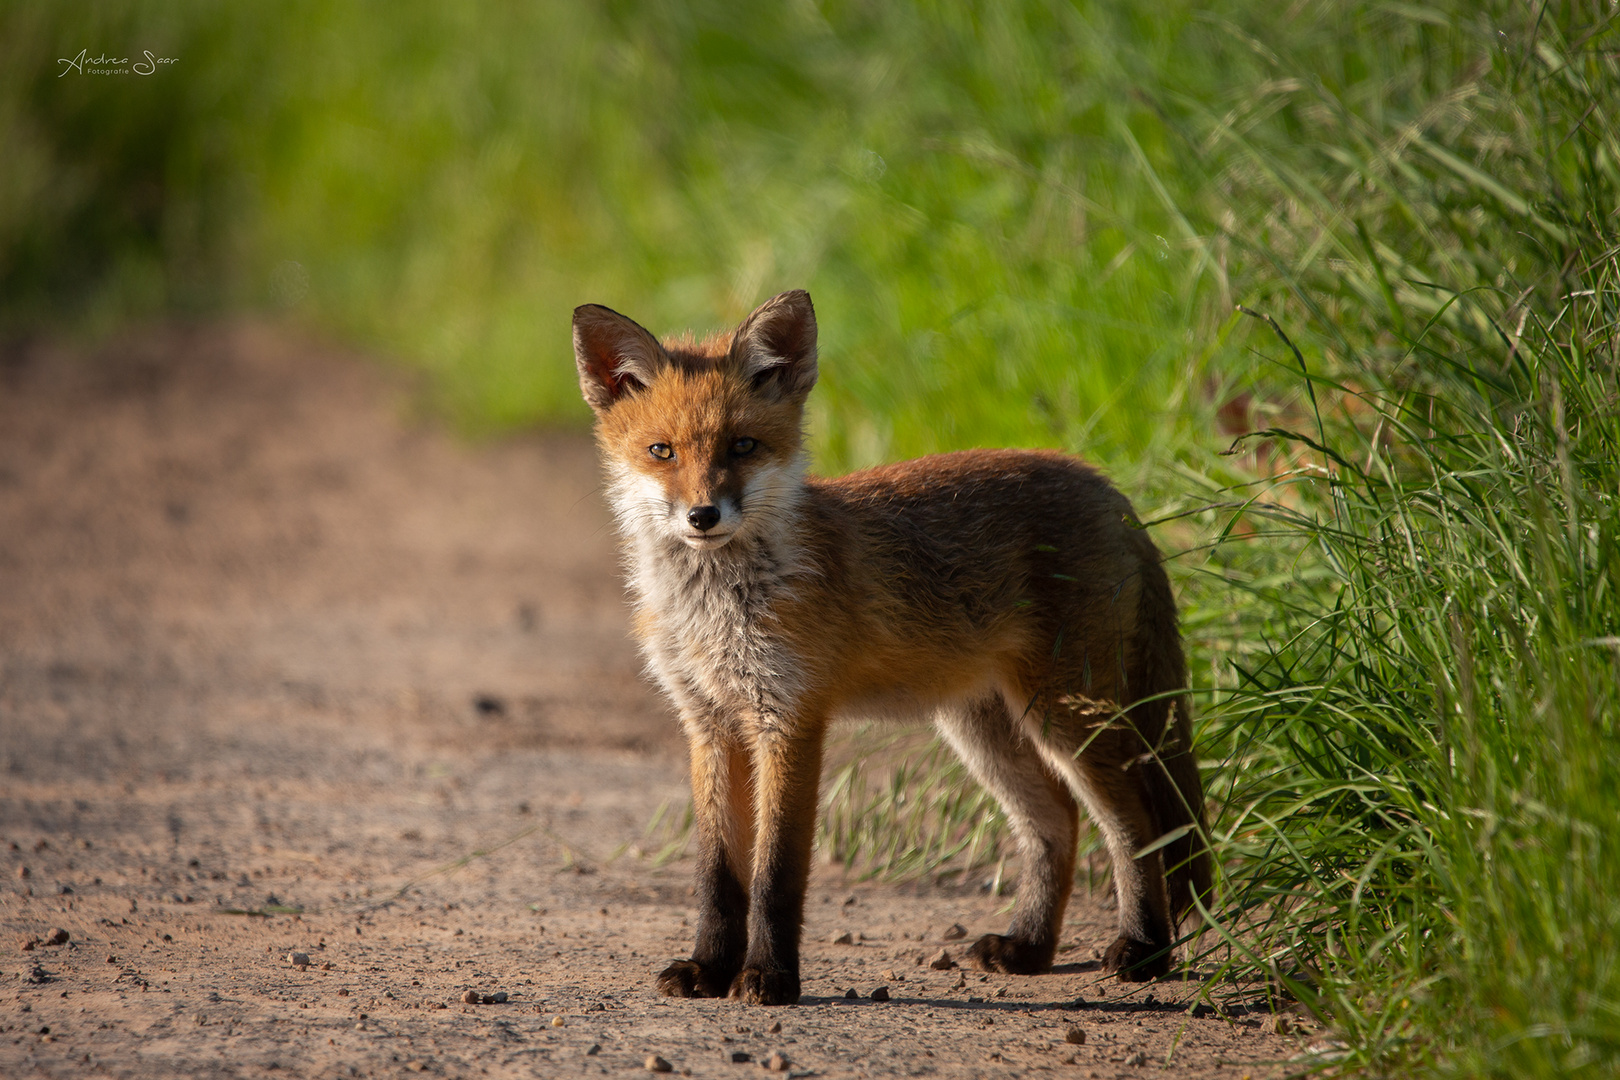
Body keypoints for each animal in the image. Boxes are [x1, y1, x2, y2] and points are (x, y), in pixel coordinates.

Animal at [576, 286, 1211, 1003]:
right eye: (662, 451)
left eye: (742, 446)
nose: (703, 516)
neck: (715, 609)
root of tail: (1102, 482)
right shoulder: (708, 723)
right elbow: (717, 875)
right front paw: (708, 968)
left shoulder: (789, 719)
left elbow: (774, 874)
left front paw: (769, 976)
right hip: (983, 727)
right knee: (1057, 823)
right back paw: (1028, 947)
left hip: (1066, 714)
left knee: (1136, 823)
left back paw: (1144, 949)